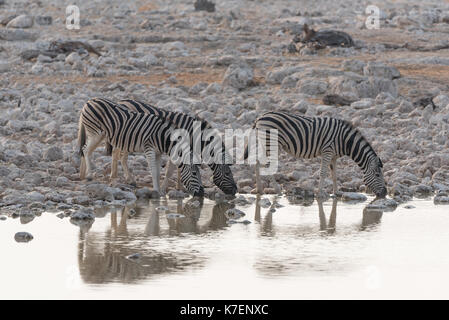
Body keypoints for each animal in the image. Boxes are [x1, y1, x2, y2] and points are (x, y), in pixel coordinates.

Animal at [104, 99, 236, 195]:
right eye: (228, 173)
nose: (235, 191)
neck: (194, 134)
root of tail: (121, 101)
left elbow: (180, 168)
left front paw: (180, 186)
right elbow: (170, 171)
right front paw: (164, 189)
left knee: (121, 156)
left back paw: (125, 179)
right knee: (117, 155)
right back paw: (117, 177)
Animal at [243, 111, 386, 199]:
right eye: (377, 175)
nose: (384, 194)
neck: (345, 141)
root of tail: (260, 117)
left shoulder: (334, 156)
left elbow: (334, 175)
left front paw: (336, 192)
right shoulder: (327, 151)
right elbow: (323, 173)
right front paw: (320, 194)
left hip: (264, 143)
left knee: (257, 162)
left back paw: (260, 190)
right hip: (271, 143)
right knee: (267, 165)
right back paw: (277, 190)